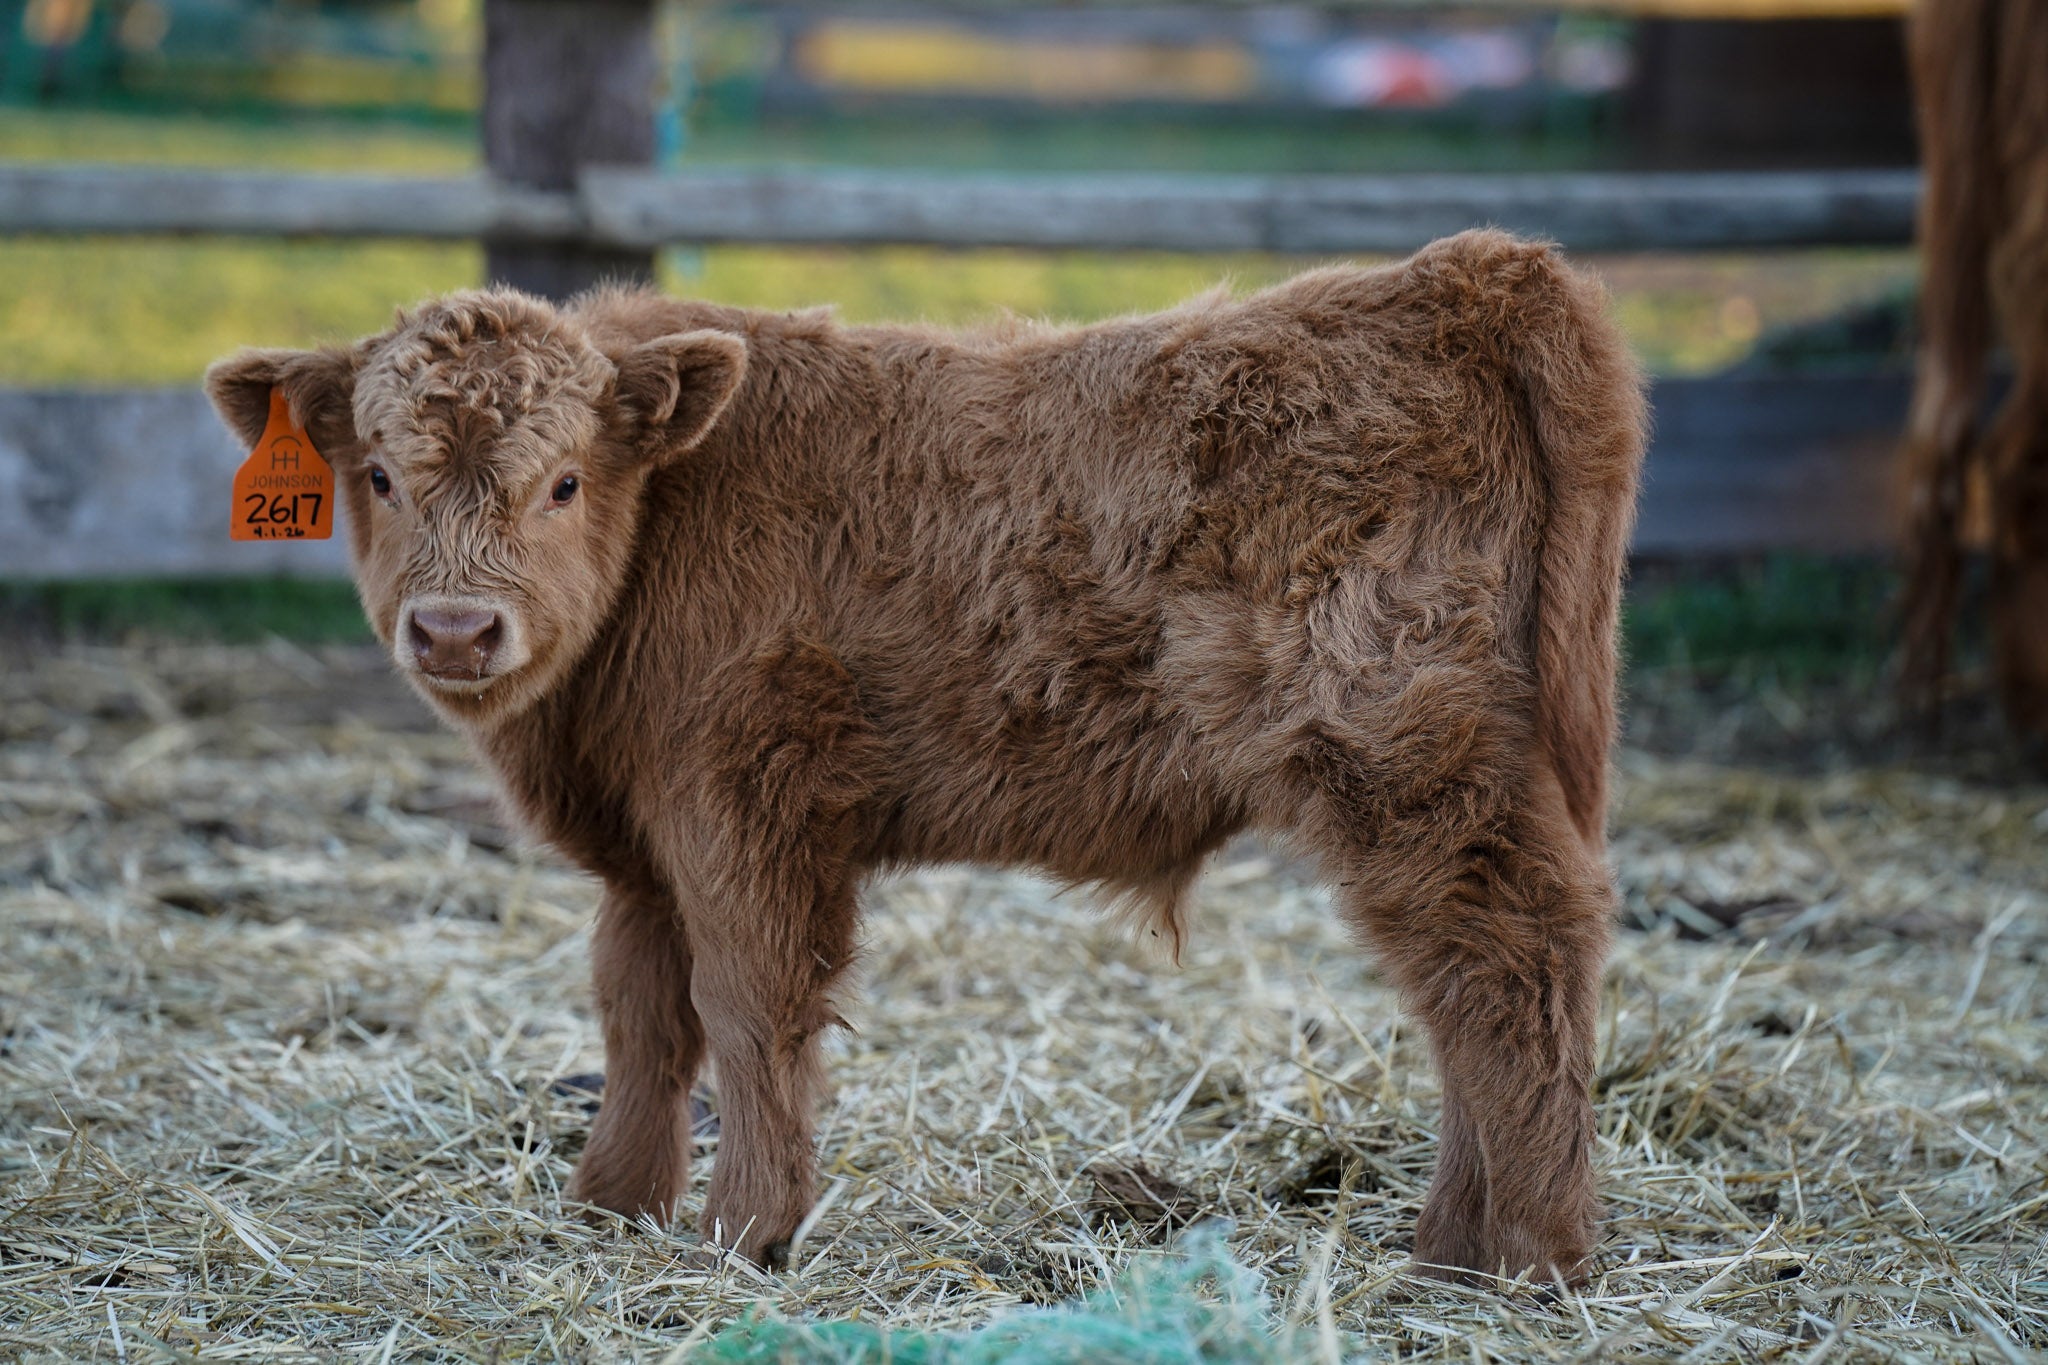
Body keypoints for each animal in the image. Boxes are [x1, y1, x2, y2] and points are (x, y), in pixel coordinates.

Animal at [205, 229, 1646, 1284]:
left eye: (562, 483)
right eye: (378, 476)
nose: (455, 627)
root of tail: (1453, 276)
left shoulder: (743, 807)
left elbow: (746, 1005)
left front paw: (745, 1231)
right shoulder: (646, 848)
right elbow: (639, 1008)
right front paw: (611, 1204)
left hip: (1405, 759)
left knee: (1509, 960)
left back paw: (1530, 1253)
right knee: (1463, 990)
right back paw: (1456, 1245)